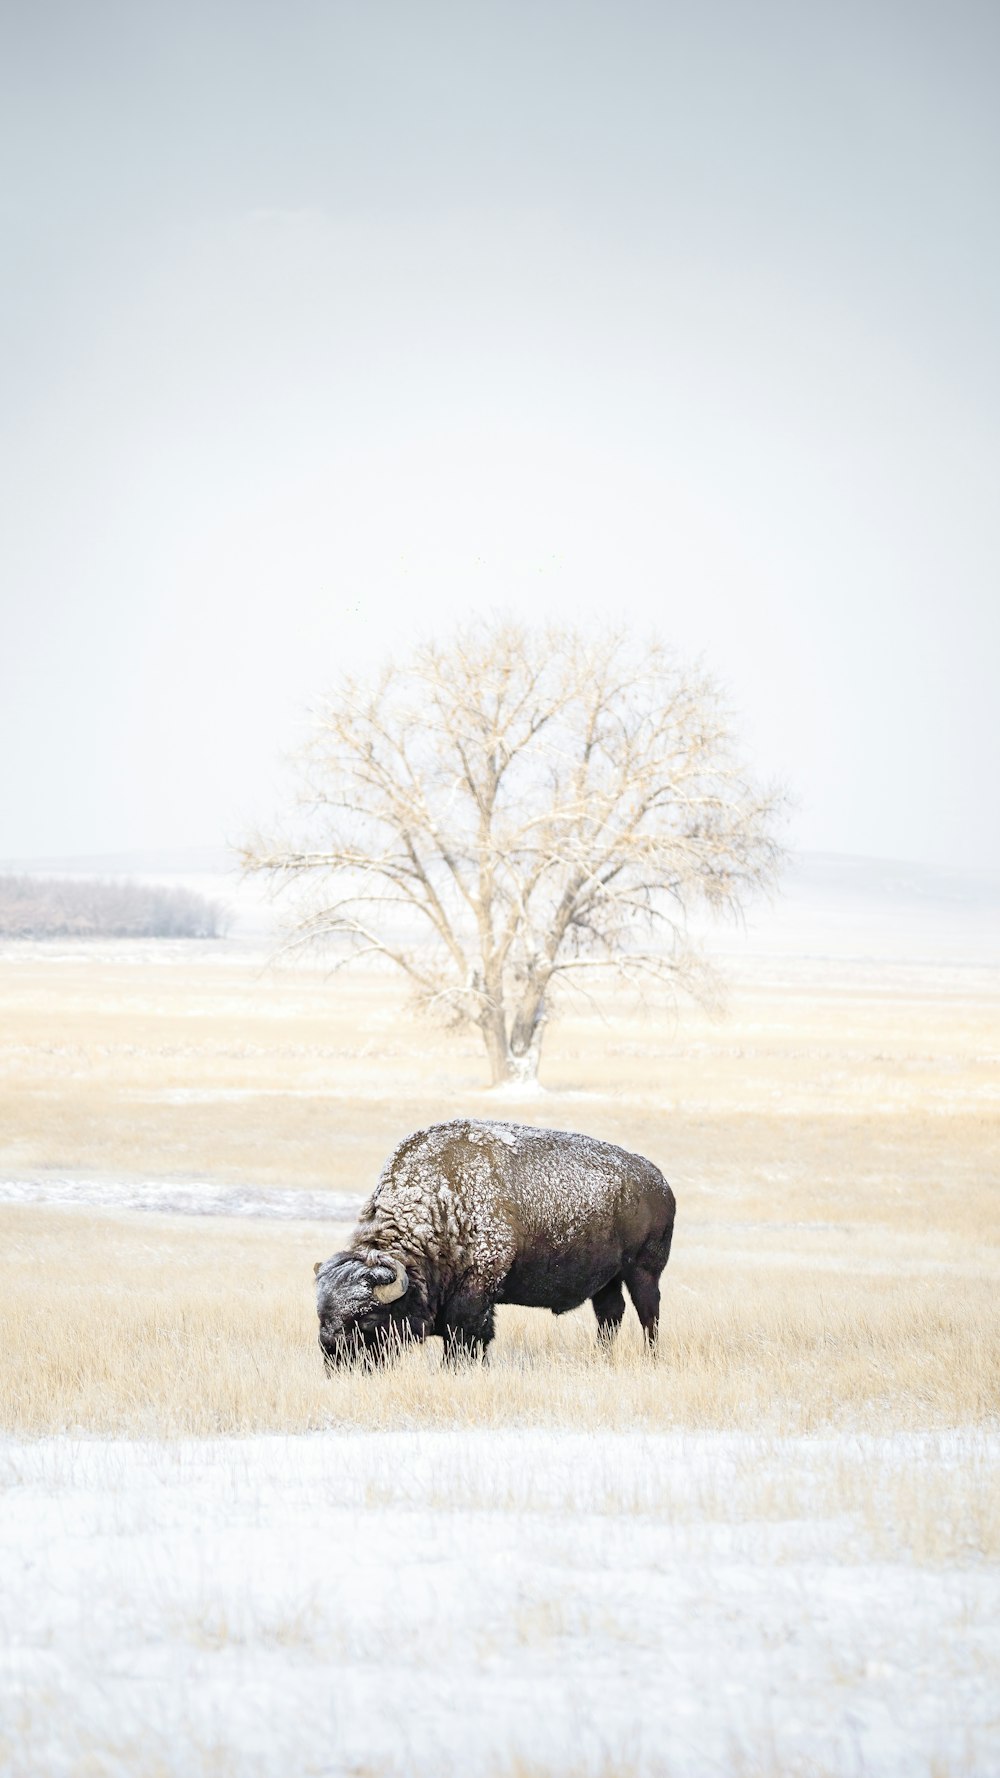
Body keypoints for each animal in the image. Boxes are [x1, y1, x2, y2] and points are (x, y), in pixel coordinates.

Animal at [313, 1116, 669, 1365]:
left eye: (368, 1318)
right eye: (322, 1314)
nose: (334, 1357)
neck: (444, 1202)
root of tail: (657, 1179)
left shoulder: (476, 1293)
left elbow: (468, 1336)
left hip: (643, 1271)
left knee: (647, 1313)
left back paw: (651, 1358)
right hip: (606, 1280)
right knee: (610, 1314)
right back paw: (600, 1358)